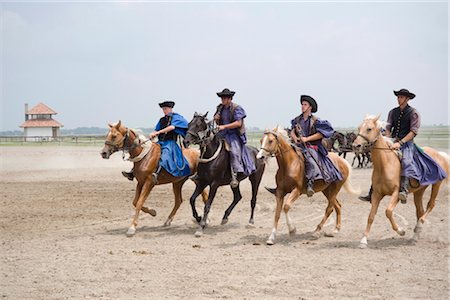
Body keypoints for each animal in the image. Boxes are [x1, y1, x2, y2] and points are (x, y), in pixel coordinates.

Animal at [354, 115, 448, 248]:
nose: (355, 145)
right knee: (420, 211)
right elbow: (371, 216)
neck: (385, 164)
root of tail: (439, 154)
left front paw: (401, 231)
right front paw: (363, 240)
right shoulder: (377, 194)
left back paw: (419, 226)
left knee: (430, 205)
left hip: (436, 184)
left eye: (369, 129)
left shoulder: (396, 194)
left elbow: (388, 211)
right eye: (359, 128)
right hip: (419, 191)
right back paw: (415, 237)